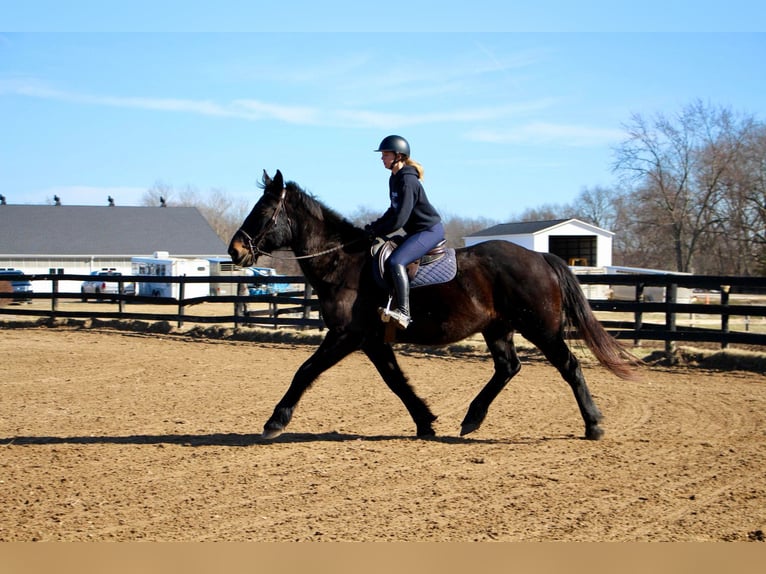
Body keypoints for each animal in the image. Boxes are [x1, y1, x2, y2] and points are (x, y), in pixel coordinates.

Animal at [228, 170, 640, 440]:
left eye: (263, 213)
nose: (235, 251)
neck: (342, 262)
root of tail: (540, 257)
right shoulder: (373, 341)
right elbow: (396, 381)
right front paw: (425, 422)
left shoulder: (346, 335)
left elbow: (305, 371)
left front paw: (275, 422)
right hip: (498, 328)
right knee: (508, 367)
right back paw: (472, 418)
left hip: (541, 328)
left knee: (569, 366)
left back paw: (593, 425)